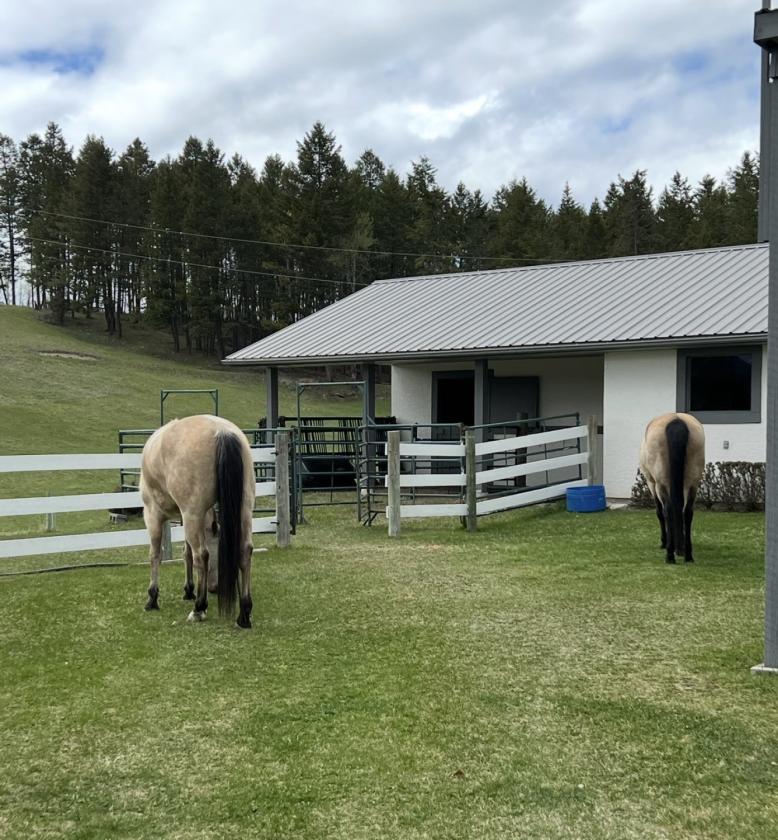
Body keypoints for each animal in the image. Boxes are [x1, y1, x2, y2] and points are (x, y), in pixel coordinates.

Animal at [139, 414, 256, 627]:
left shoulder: (153, 514)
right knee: (245, 550)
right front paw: (188, 590)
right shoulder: (185, 518)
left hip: (191, 514)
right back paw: (244, 613)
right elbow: (187, 554)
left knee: (201, 555)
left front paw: (152, 598)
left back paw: (199, 608)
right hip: (244, 509)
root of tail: (221, 431)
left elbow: (156, 554)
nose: (216, 588)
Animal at [639, 412, 705, 564]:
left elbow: (660, 512)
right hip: (693, 483)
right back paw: (687, 554)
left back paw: (669, 554)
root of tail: (676, 420)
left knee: (668, 511)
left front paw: (665, 542)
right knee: (687, 512)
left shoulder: (652, 483)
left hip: (661, 484)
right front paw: (679, 546)